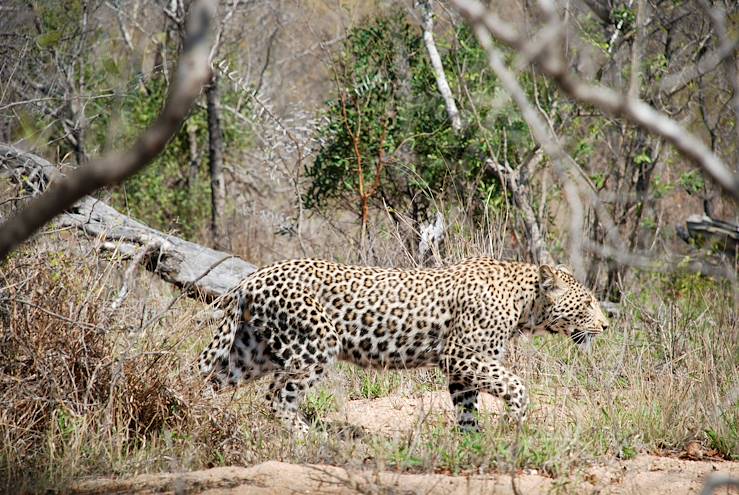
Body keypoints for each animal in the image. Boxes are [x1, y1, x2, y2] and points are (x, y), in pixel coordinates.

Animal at [199, 258, 608, 432]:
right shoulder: (461, 354)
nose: (606, 325)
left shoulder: (463, 367)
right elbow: (515, 384)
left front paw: (472, 443)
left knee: (208, 381)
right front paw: (516, 421)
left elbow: (467, 408)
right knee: (277, 396)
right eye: (587, 302)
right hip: (317, 343)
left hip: (249, 353)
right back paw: (307, 438)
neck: (525, 305)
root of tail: (252, 276)